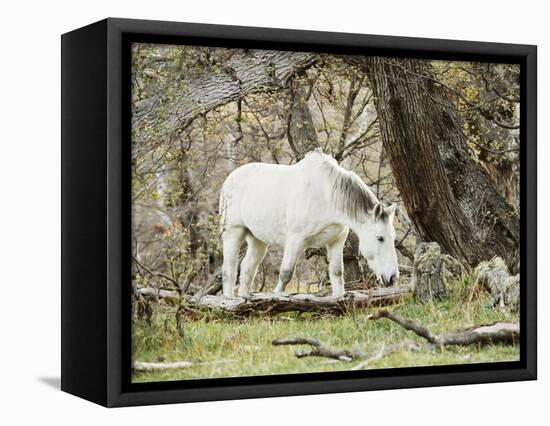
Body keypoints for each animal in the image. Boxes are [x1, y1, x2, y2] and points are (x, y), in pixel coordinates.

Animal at [220, 151, 402, 298]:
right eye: (380, 238)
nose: (393, 277)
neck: (325, 194)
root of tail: (230, 179)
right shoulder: (296, 240)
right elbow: (286, 274)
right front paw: (277, 296)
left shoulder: (336, 240)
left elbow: (337, 272)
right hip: (233, 233)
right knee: (229, 268)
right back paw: (229, 300)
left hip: (258, 240)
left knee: (247, 267)